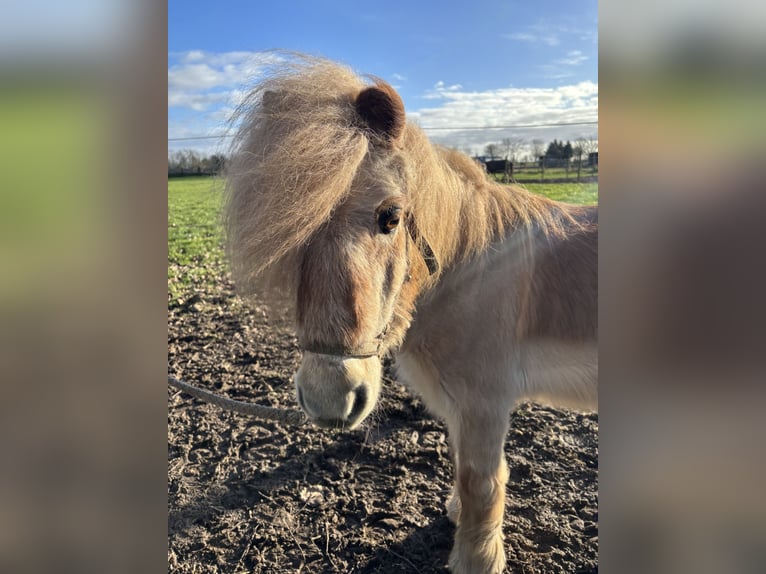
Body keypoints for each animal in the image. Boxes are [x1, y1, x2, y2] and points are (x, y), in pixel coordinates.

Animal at [225, 54, 596, 574]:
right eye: (293, 229)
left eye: (392, 217)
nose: (330, 397)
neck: (471, 267)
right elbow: (462, 469)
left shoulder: (486, 404)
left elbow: (482, 481)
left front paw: (476, 559)